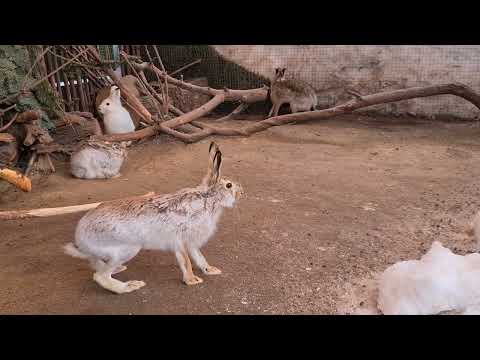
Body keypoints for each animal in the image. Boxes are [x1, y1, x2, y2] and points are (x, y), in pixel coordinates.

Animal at [63, 142, 244, 294]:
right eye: (229, 185)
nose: (242, 193)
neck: (209, 198)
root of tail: (80, 238)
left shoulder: (189, 241)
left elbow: (198, 257)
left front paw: (210, 270)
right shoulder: (182, 238)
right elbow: (186, 261)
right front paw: (193, 280)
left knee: (96, 264)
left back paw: (118, 270)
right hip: (127, 248)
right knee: (100, 276)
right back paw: (130, 286)